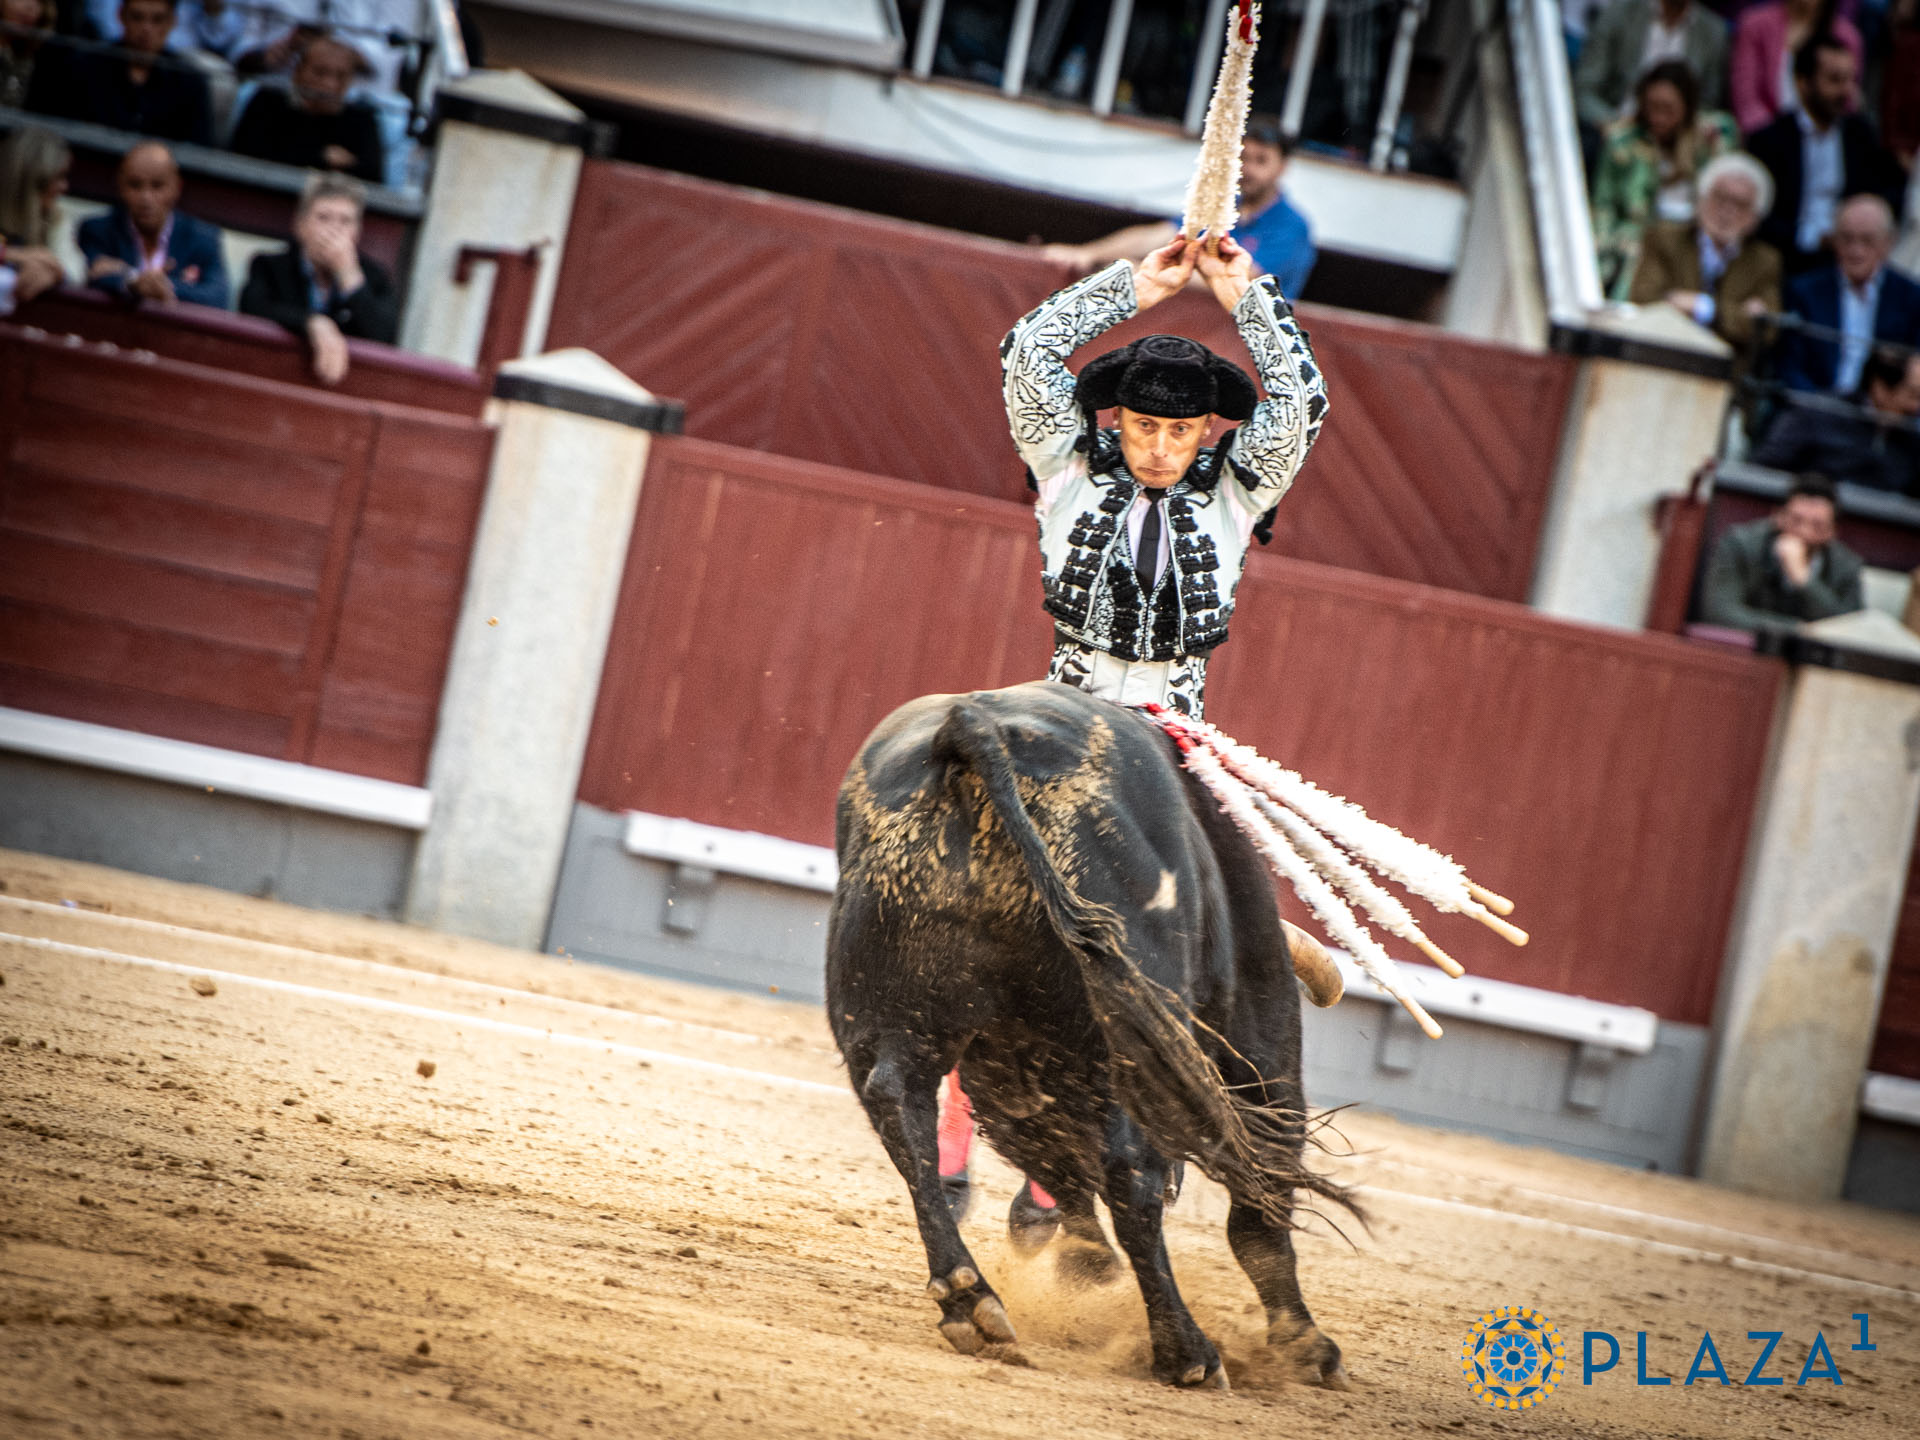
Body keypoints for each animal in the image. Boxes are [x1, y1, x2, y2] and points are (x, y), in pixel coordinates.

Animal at [826, 680, 1359, 1390]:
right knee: (1134, 1172)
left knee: (900, 1110)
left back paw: (971, 1300)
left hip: (889, 1013)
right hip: (1125, 1040)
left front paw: (1080, 1261)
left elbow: (1056, 1164)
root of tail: (974, 728)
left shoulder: (1009, 1079)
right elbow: (1260, 1201)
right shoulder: (1260, 1035)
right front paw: (1307, 1346)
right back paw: (1188, 1351)